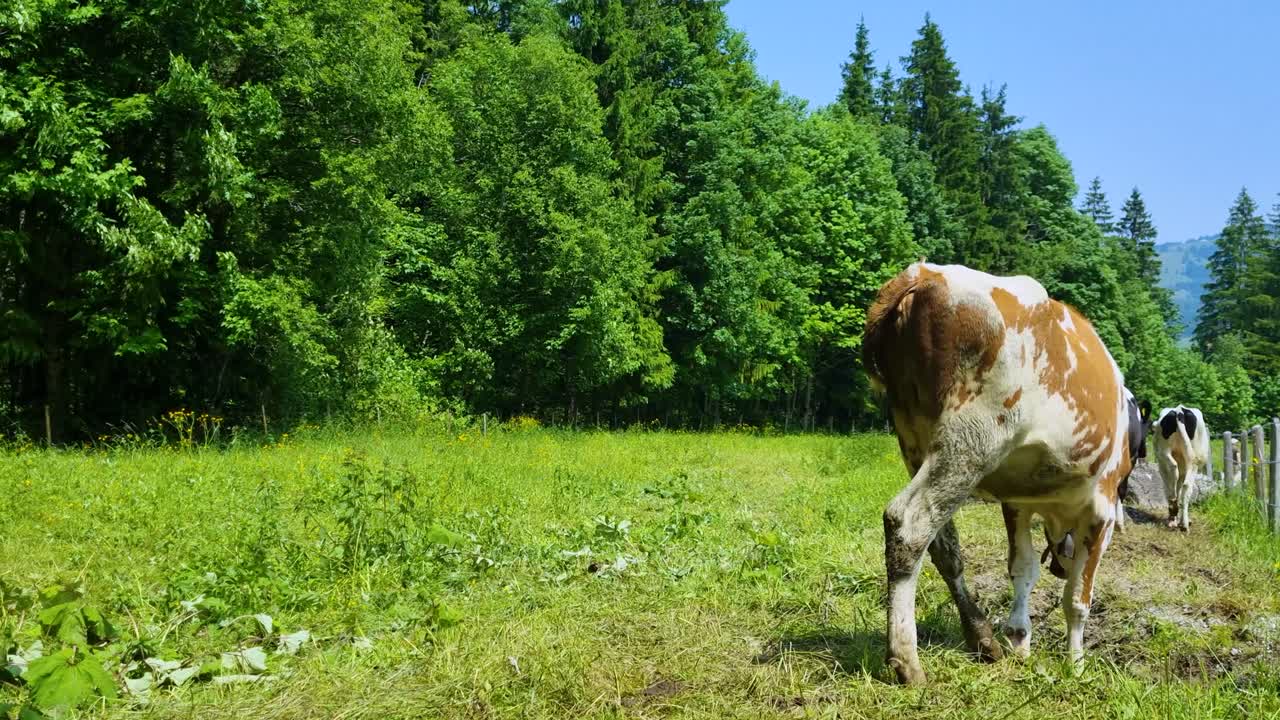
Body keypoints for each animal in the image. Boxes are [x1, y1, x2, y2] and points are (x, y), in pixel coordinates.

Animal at [862, 262, 1135, 685]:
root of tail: (923, 274)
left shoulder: (1019, 504)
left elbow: (1023, 570)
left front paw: (1020, 642)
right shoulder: (1101, 508)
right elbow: (1078, 597)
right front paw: (1075, 664)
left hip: (915, 440)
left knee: (944, 546)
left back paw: (981, 637)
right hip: (971, 441)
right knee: (908, 524)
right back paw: (906, 658)